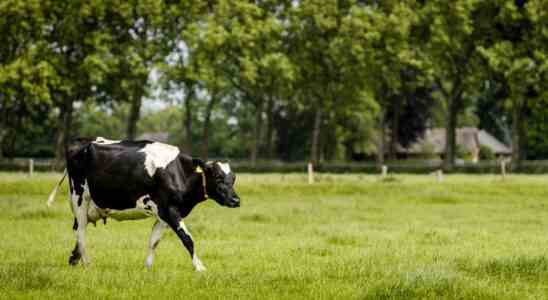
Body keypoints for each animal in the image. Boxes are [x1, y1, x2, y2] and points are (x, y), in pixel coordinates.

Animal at [44, 137, 238, 270]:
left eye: (233, 178)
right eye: (218, 177)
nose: (236, 200)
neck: (180, 173)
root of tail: (83, 142)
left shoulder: (164, 215)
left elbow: (154, 241)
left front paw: (148, 268)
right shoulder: (170, 210)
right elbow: (188, 239)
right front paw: (199, 267)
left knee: (78, 232)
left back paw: (74, 260)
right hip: (80, 199)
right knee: (81, 233)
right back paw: (87, 264)